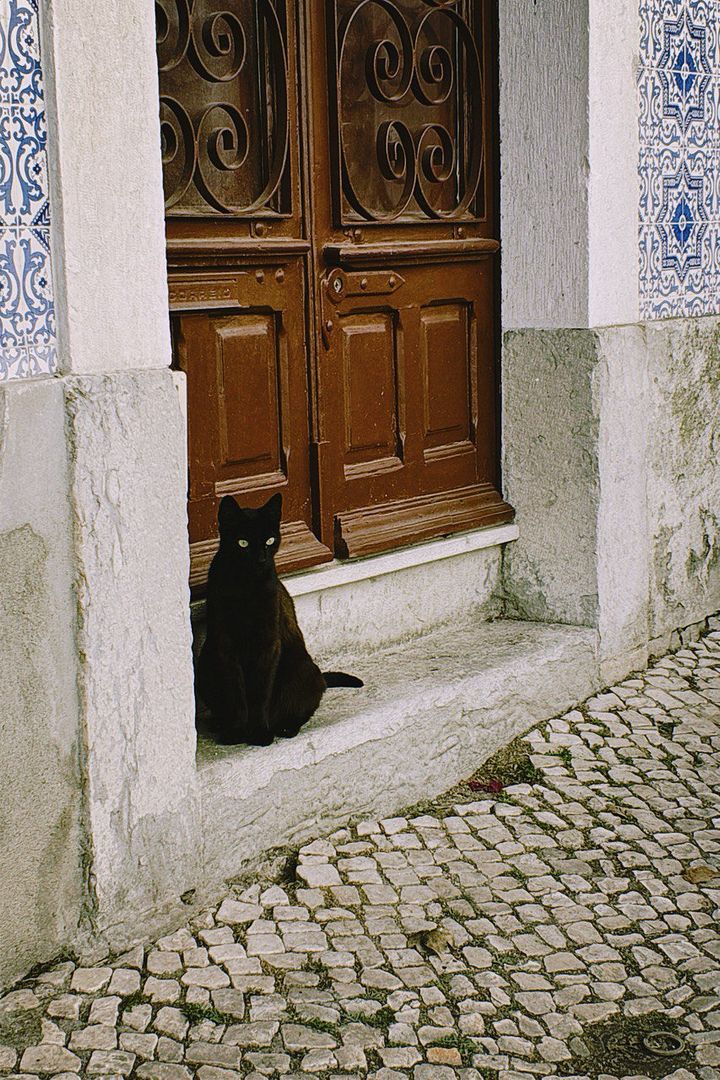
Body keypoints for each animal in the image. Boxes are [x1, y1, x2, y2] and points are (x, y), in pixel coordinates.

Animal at [195, 490, 362, 743]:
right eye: (243, 543)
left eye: (269, 541)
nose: (261, 559)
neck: (245, 587)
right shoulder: (225, 645)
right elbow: (236, 693)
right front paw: (236, 732)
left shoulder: (268, 644)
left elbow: (260, 693)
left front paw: (259, 733)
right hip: (205, 662)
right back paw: (219, 723)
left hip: (302, 671)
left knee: (300, 710)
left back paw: (284, 728)